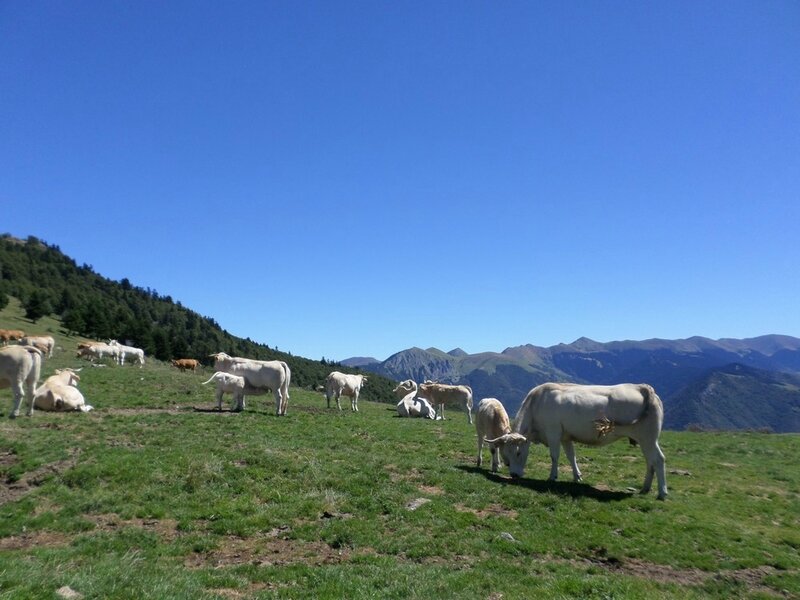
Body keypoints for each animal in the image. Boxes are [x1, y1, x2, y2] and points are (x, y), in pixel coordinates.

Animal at [488, 382, 668, 500]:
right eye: (505, 455)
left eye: (518, 453)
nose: (514, 475)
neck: (536, 404)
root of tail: (643, 387)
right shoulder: (566, 437)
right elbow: (571, 456)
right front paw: (577, 476)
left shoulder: (553, 432)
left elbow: (554, 456)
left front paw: (552, 477)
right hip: (645, 439)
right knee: (650, 461)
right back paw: (645, 488)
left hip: (648, 437)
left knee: (658, 459)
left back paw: (662, 492)